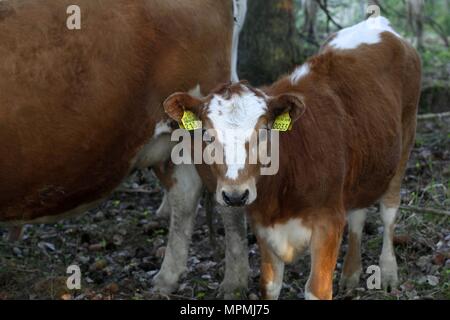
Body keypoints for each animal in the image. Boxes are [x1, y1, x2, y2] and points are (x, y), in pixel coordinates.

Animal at [164, 16, 422, 298]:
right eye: (207, 135)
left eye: (264, 131)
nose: (235, 195)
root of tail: (376, 21)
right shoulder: (264, 226)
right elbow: (270, 286)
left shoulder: (328, 222)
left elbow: (316, 289)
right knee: (358, 212)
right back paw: (351, 273)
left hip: (405, 140)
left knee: (389, 210)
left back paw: (388, 272)